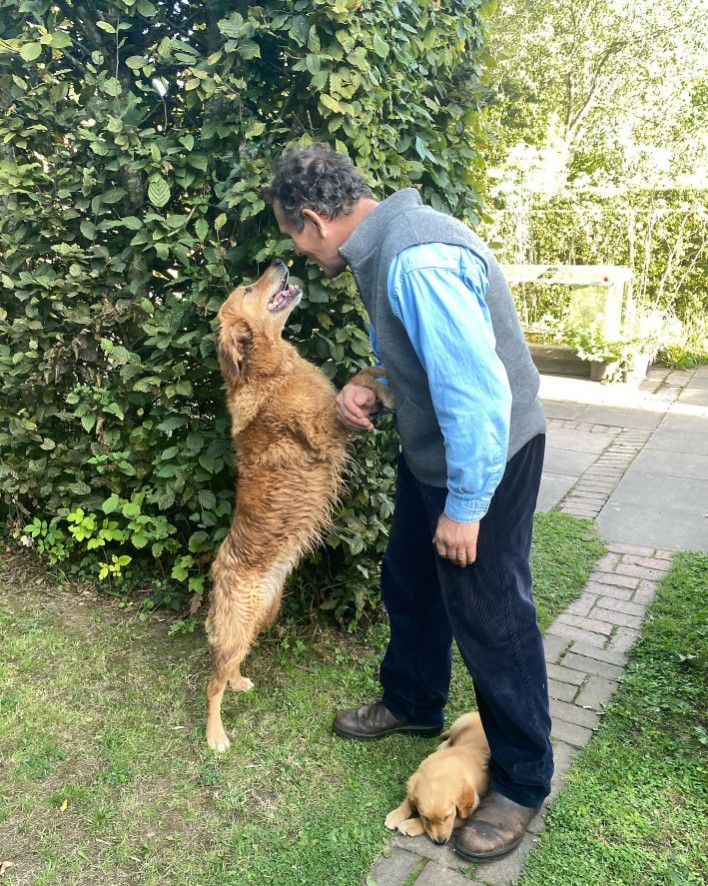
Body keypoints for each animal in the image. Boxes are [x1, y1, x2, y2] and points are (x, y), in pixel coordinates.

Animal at [205, 260, 392, 752]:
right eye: (248, 288)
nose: (279, 262)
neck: (270, 372)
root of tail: (217, 568)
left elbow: (363, 373)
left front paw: (384, 380)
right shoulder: (323, 426)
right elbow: (351, 386)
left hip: (263, 615)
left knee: (232, 664)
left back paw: (239, 682)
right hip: (236, 624)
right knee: (212, 681)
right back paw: (215, 734)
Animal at [384, 716, 490, 848]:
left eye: (447, 817)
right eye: (426, 818)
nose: (440, 842)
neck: (441, 772)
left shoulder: (470, 811)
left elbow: (456, 820)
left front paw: (411, 824)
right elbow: (408, 799)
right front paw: (396, 814)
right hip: (459, 724)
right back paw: (443, 745)